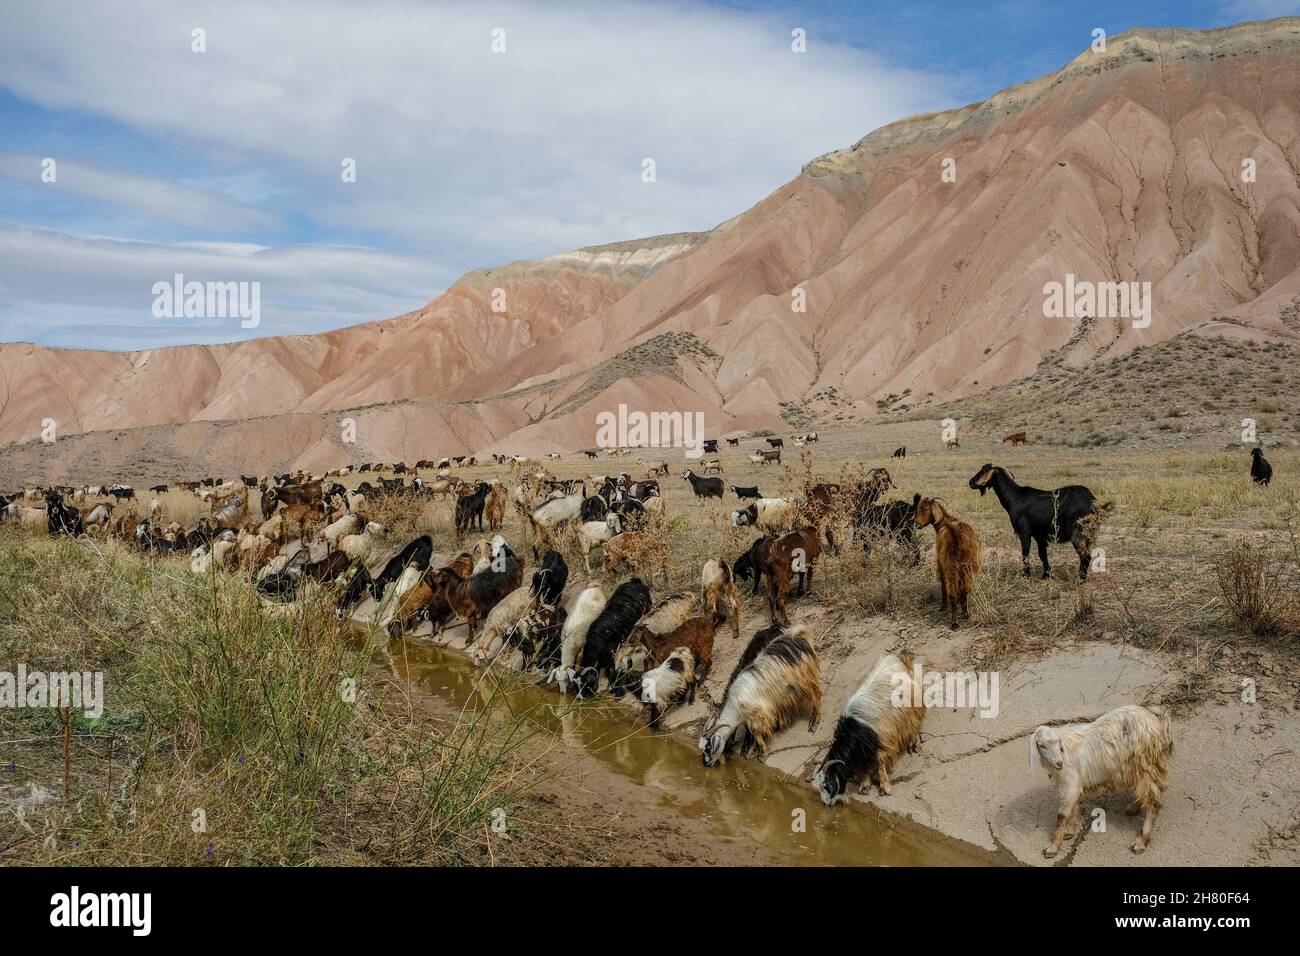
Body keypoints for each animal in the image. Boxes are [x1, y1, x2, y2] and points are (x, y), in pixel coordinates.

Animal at [702, 629, 821, 770]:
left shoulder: (758, 712)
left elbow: (756, 732)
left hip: (804, 677)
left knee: (816, 695)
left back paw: (814, 722)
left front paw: (761, 754)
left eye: (708, 747)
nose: (706, 764)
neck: (735, 706)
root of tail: (798, 636)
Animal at [909, 496, 977, 632]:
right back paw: (965, 614)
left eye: (926, 508)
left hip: (950, 566)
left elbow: (942, 583)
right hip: (966, 565)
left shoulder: (941, 563)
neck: (944, 523)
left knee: (952, 592)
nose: (916, 523)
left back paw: (954, 622)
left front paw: (942, 606)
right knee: (965, 590)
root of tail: (957, 536)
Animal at [972, 463, 1112, 580]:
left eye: (983, 471)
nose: (970, 482)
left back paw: (1081, 579)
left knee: (1085, 556)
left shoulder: (1024, 532)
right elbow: (1042, 554)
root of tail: (1094, 503)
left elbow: (1025, 554)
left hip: (1078, 532)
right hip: (1091, 535)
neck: (1015, 497)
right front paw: (1047, 575)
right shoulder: (1040, 535)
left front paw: (1025, 575)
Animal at [1029, 702, 1175, 858]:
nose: (1059, 763)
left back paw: (1141, 842)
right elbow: (1074, 807)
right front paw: (1069, 831)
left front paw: (1053, 847)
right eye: (1042, 745)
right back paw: (1133, 807)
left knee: (1153, 801)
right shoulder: (1070, 784)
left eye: (1058, 742)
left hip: (1146, 763)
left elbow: (1062, 814)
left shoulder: (1072, 783)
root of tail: (1155, 717)